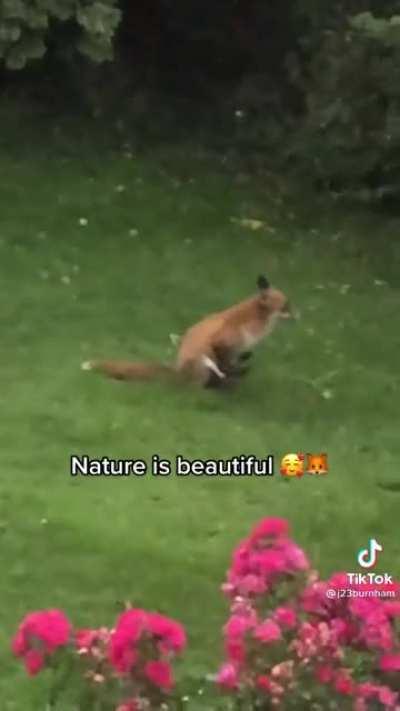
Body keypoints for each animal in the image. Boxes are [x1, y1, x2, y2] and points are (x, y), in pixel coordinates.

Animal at [81, 275, 294, 388]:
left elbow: (234, 362)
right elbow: (226, 366)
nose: (298, 314)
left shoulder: (236, 349)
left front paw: (239, 369)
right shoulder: (222, 341)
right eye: (286, 306)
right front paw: (233, 376)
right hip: (204, 361)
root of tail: (177, 372)